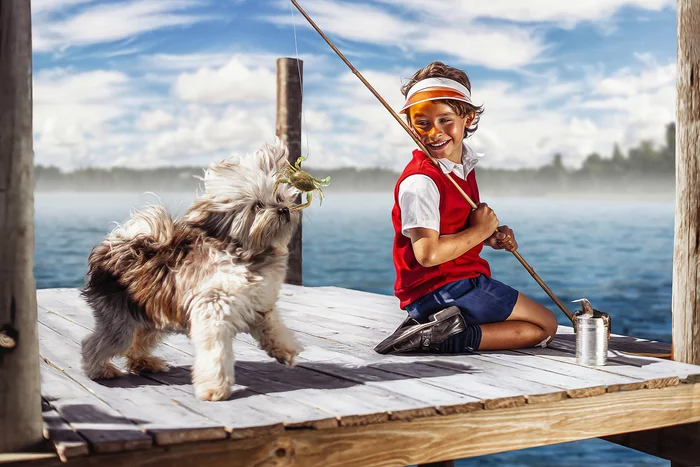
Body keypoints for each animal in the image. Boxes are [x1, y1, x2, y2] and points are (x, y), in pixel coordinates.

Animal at [80, 139, 304, 402]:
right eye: (258, 205)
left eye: (279, 196)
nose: (284, 210)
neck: (246, 254)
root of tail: (117, 248)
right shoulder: (213, 311)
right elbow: (216, 353)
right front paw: (214, 388)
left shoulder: (260, 305)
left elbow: (274, 329)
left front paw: (285, 350)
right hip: (121, 320)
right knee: (95, 343)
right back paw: (99, 370)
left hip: (152, 317)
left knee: (137, 343)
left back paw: (146, 363)